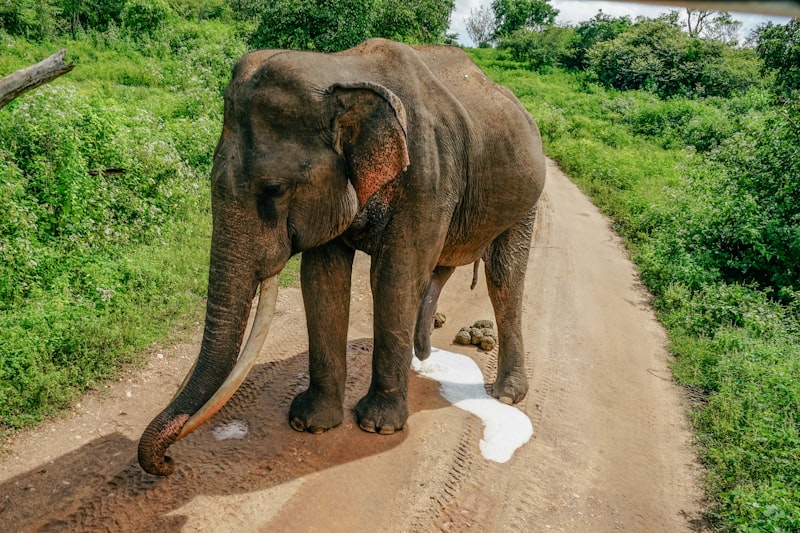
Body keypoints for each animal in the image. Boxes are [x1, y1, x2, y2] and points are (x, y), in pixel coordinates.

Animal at [138, 38, 546, 476]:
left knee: (504, 277)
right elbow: (322, 278)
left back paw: (506, 395)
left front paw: (377, 426)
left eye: (274, 189)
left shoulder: (428, 177)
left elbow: (394, 278)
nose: (168, 463)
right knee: (443, 270)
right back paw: (421, 357)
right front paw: (310, 423)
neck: (343, 72)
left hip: (526, 198)